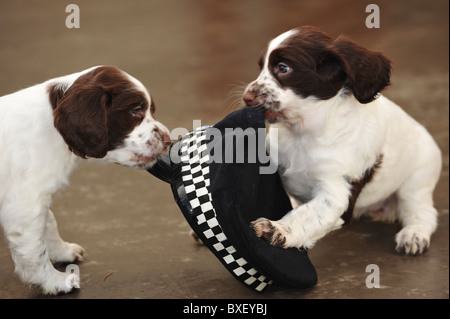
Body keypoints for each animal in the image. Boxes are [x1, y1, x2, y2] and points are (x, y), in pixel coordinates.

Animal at [0, 65, 171, 296]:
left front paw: (62, 251)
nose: (168, 139)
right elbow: (35, 248)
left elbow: (48, 222)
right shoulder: (24, 203)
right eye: (136, 110)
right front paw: (54, 281)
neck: (51, 127)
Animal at [244, 26, 442, 258]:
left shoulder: (337, 192)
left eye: (283, 68)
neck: (303, 133)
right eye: (261, 67)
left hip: (416, 183)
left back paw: (414, 234)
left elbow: (307, 214)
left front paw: (278, 229)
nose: (246, 98)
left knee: (423, 213)